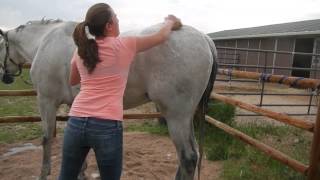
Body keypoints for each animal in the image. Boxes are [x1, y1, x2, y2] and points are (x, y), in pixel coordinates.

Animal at [0, 19, 218, 179]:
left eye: (1, 46)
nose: (5, 77)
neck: (45, 42)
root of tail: (205, 38)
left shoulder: (46, 101)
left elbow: (46, 139)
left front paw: (44, 174)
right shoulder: (74, 104)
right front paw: (81, 172)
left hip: (176, 116)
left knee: (188, 158)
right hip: (186, 116)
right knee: (192, 154)